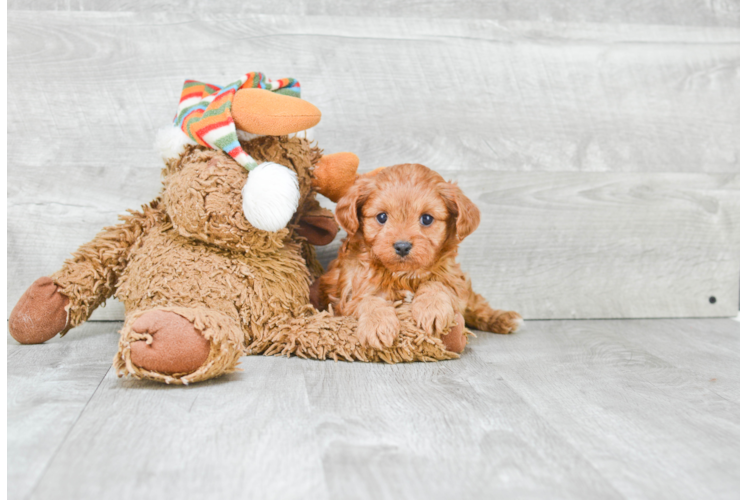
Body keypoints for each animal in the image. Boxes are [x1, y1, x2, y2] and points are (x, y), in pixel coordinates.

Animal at [318, 162, 524, 350]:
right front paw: (377, 325)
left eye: (426, 219)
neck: (404, 274)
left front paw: (432, 308)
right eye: (382, 217)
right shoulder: (348, 294)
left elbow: (437, 284)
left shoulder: (452, 279)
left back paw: (503, 318)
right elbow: (368, 300)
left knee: (475, 304)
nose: (402, 246)